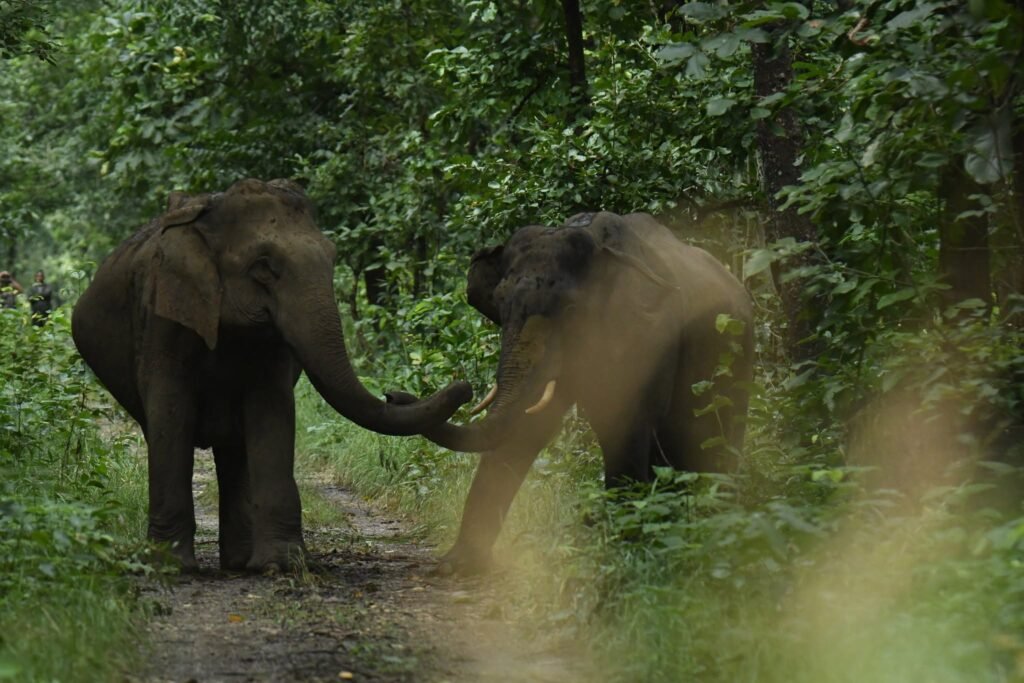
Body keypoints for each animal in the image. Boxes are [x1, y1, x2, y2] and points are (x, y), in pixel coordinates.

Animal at [72, 178, 471, 573]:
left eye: (333, 257)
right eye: (263, 266)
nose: (465, 387)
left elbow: (271, 412)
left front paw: (282, 565)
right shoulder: (161, 320)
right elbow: (171, 416)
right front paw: (171, 567)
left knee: (234, 449)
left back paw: (238, 563)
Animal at [391, 211, 753, 574]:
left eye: (570, 311)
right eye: (500, 303)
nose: (393, 395)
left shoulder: (647, 338)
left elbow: (624, 424)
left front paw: (622, 561)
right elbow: (527, 426)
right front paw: (458, 565)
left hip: (735, 360)